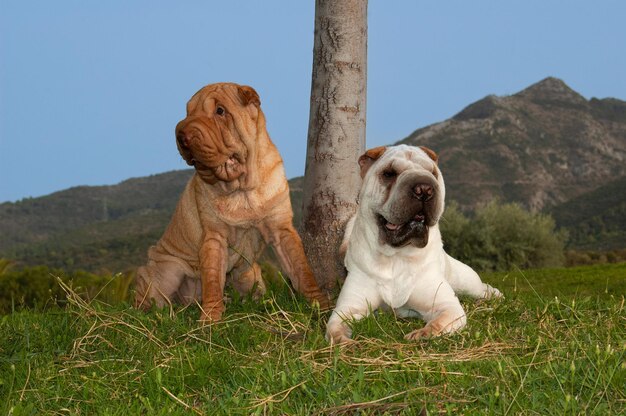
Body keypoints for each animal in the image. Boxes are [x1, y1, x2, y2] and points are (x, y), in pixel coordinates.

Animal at [134, 82, 330, 322]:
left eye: (220, 111)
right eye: (188, 112)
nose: (181, 134)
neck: (242, 187)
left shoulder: (281, 229)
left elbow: (302, 268)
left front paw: (320, 303)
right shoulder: (214, 238)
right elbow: (212, 281)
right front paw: (210, 318)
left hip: (252, 275)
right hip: (167, 271)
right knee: (150, 297)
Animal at [324, 145, 500, 342]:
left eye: (433, 173)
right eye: (389, 173)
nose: (424, 189)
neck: (396, 255)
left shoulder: (447, 306)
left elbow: (436, 324)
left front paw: (420, 335)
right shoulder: (346, 309)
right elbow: (335, 330)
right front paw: (346, 342)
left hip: (468, 283)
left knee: (483, 288)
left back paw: (495, 296)